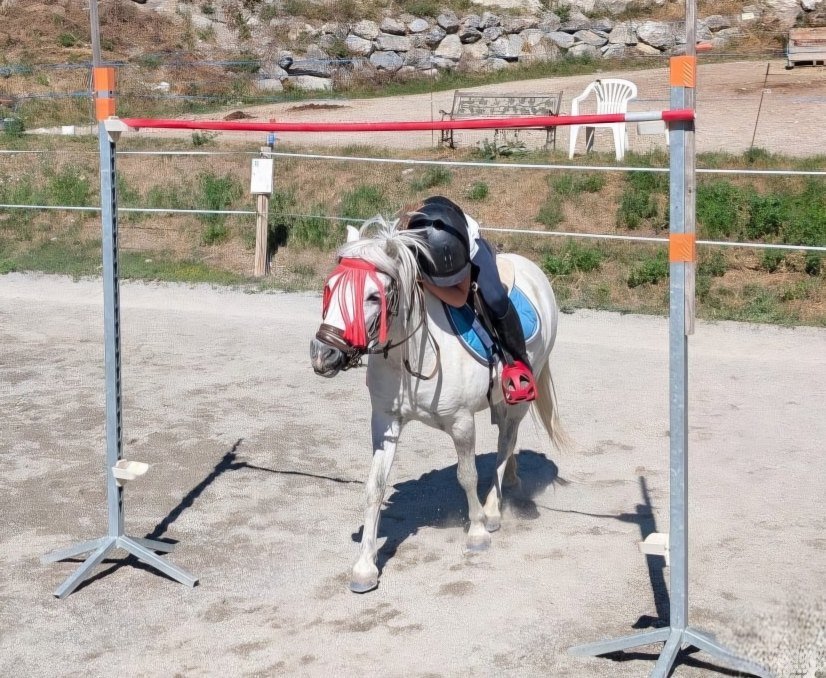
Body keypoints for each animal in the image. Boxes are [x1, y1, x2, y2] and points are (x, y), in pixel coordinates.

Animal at [310, 217, 568, 593]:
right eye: (329, 288)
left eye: (373, 296)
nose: (323, 354)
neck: (413, 353)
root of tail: (531, 269)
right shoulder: (385, 422)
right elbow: (374, 487)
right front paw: (364, 566)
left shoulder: (461, 422)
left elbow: (467, 475)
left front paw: (477, 531)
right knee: (508, 439)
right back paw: (511, 480)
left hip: (520, 393)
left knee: (507, 440)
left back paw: (493, 510)